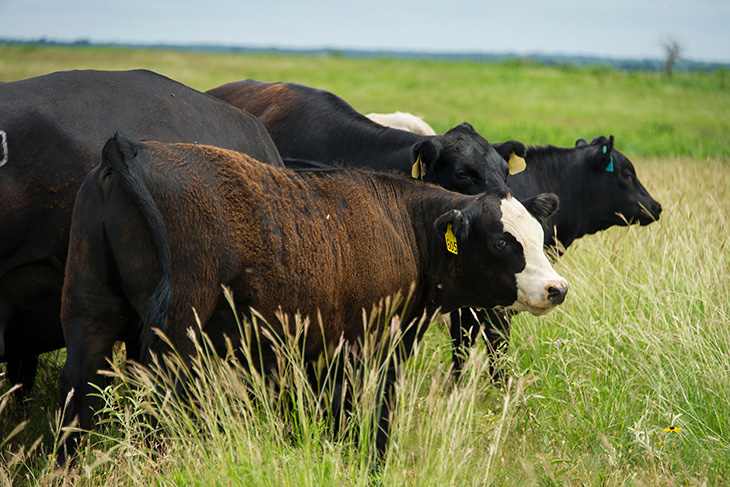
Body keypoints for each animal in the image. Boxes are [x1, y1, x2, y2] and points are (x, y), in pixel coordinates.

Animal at [57, 135, 568, 464]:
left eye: (540, 236)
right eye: (502, 242)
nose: (556, 287)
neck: (404, 225)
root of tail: (130, 150)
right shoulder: (367, 347)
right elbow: (370, 420)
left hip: (88, 318)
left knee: (75, 392)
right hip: (174, 339)